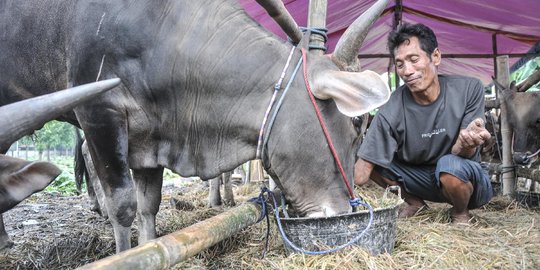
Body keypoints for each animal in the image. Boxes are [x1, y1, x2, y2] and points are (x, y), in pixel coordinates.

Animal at [0, 0, 390, 253]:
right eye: (357, 125)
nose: (345, 211)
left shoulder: (150, 138)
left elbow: (149, 206)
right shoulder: (98, 112)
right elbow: (124, 206)